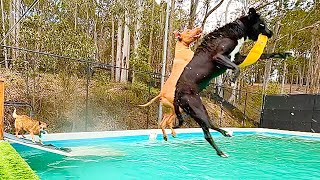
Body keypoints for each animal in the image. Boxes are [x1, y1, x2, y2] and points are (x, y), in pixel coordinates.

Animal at [174, 8, 274, 158]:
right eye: (262, 24)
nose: (271, 33)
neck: (238, 30)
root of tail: (176, 93)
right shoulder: (219, 57)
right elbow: (236, 68)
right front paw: (233, 79)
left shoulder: (236, 58)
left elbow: (264, 55)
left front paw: (284, 54)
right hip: (197, 109)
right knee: (208, 131)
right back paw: (221, 151)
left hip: (198, 110)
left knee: (210, 127)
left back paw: (225, 134)